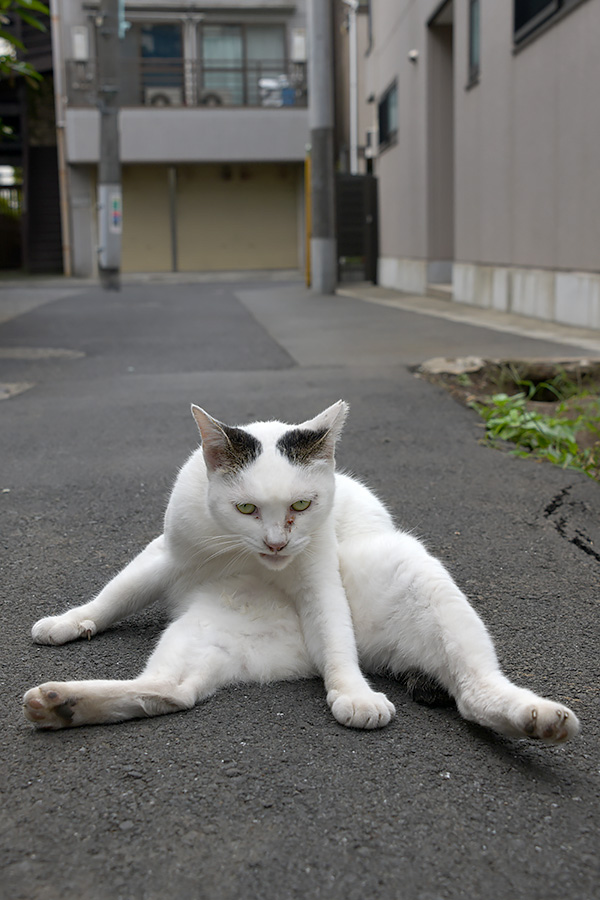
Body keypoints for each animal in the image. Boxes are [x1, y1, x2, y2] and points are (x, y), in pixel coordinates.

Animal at [22, 404, 576, 740]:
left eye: (302, 505)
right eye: (246, 508)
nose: (276, 543)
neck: (250, 558)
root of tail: (300, 655)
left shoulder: (318, 576)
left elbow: (334, 631)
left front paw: (352, 694)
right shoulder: (166, 553)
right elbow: (115, 594)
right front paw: (69, 622)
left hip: (412, 571)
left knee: (472, 690)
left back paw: (539, 719)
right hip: (203, 632)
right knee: (172, 691)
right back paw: (60, 703)